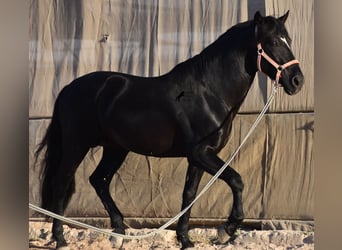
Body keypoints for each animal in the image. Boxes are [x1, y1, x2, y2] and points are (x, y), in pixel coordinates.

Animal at [35, 10, 304, 249]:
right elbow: (236, 180)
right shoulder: (201, 153)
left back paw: (118, 233)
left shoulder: (198, 158)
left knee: (99, 180)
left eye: (288, 40)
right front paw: (226, 229)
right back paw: (60, 239)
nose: (297, 81)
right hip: (76, 146)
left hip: (115, 149)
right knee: (61, 183)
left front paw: (185, 240)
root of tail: (68, 88)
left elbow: (189, 195)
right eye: (271, 42)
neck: (209, 92)